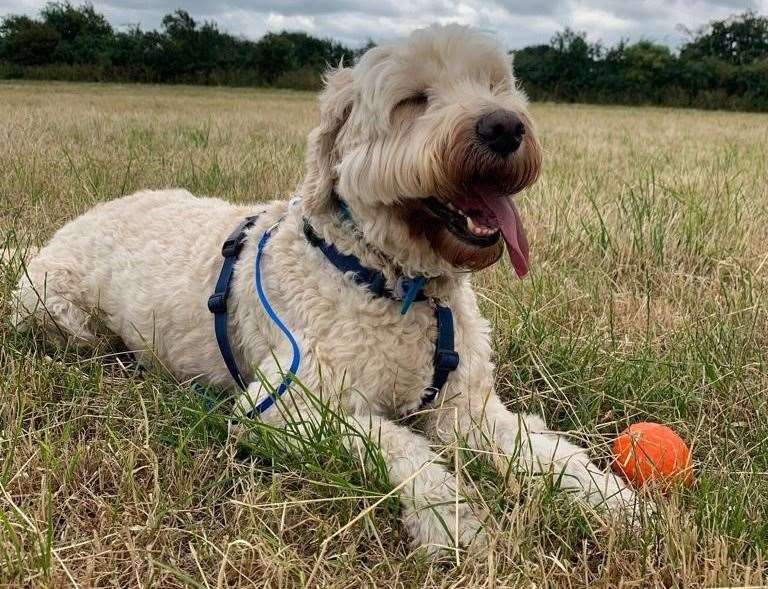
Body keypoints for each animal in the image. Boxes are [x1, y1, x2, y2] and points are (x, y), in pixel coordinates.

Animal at [13, 24, 636, 556]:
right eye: (414, 100)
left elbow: (545, 451)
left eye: (495, 85)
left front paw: (619, 504)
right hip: (62, 313)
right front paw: (453, 521)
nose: (504, 127)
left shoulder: (470, 408)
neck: (399, 286)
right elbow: (402, 445)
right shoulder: (290, 403)